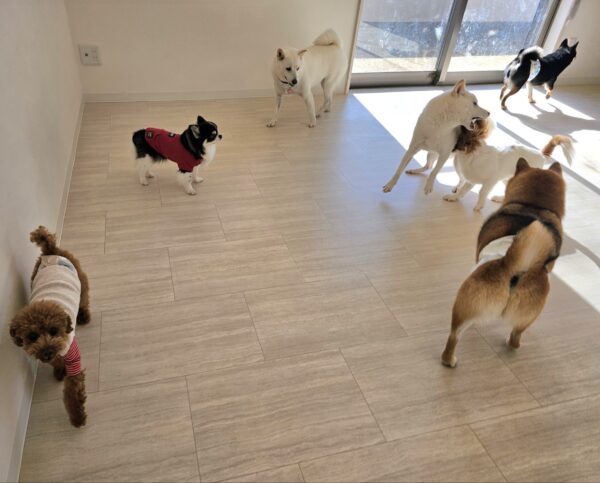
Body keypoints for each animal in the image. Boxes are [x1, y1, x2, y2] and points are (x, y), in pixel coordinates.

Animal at [10, 226, 91, 427]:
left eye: (54, 331)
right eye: (32, 336)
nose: (47, 352)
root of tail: (50, 251)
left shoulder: (72, 354)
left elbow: (72, 392)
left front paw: (77, 417)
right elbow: (57, 362)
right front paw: (59, 369)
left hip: (81, 279)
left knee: (84, 297)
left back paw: (84, 315)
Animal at [441, 159, 565, 368]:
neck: (534, 206)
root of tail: (515, 270)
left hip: (463, 308)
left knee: (453, 337)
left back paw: (449, 360)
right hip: (528, 317)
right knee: (516, 337)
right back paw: (510, 343)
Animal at [444, 117, 573, 210]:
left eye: (457, 141)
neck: (471, 155)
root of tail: (542, 154)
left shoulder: (491, 181)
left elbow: (482, 192)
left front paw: (479, 206)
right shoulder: (471, 181)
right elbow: (462, 191)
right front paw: (453, 197)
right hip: (507, 178)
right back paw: (499, 198)